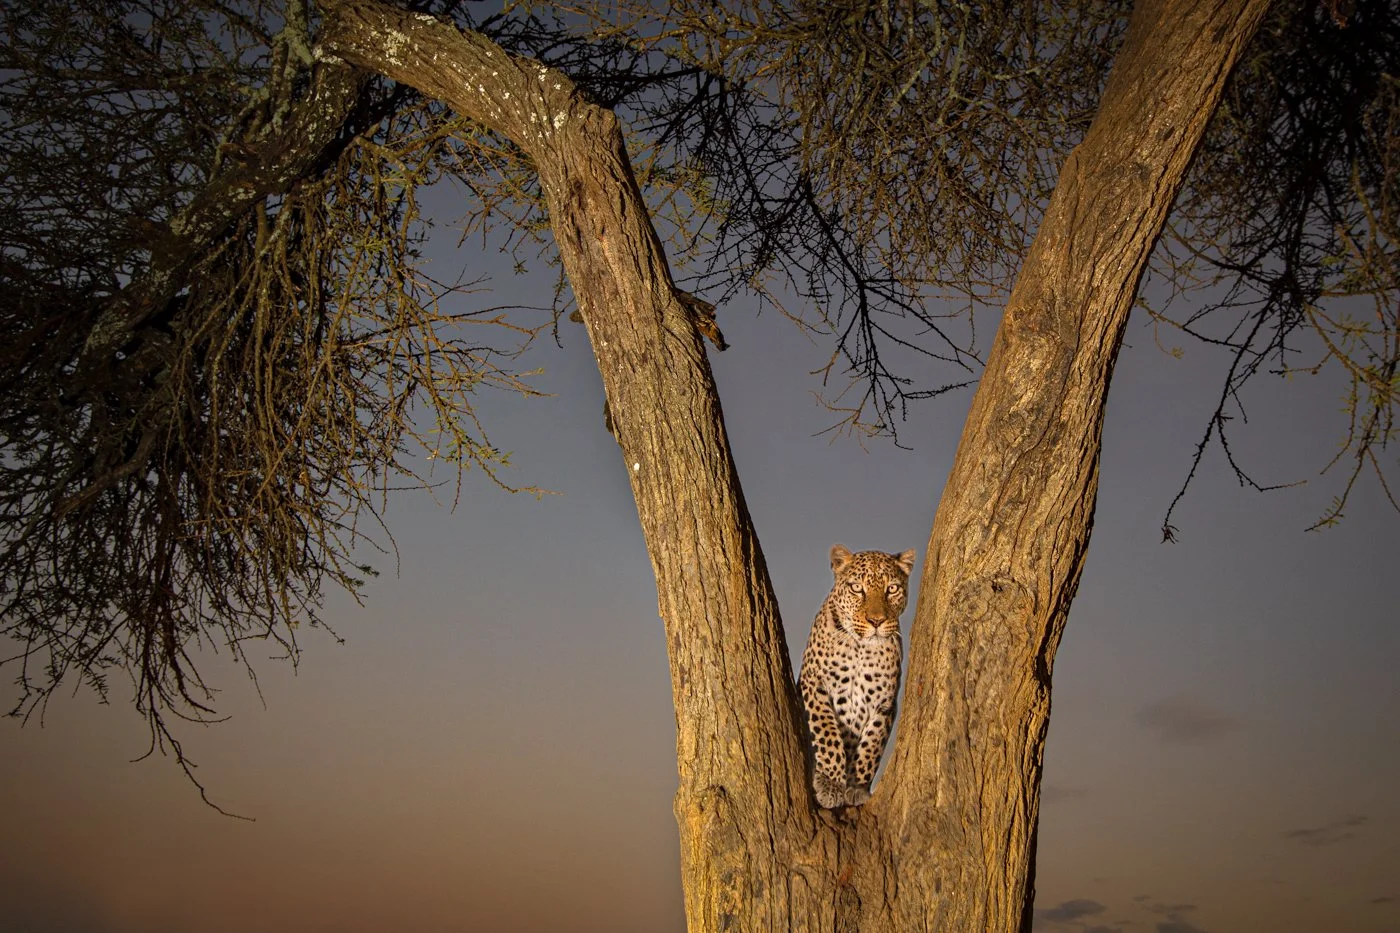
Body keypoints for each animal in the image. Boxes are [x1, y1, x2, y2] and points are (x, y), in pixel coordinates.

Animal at [798, 544, 916, 809]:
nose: (876, 621)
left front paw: (857, 787)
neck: (861, 647)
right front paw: (830, 783)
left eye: (892, 589)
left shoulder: (885, 702)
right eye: (856, 588)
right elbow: (827, 732)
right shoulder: (813, 681)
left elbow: (872, 744)